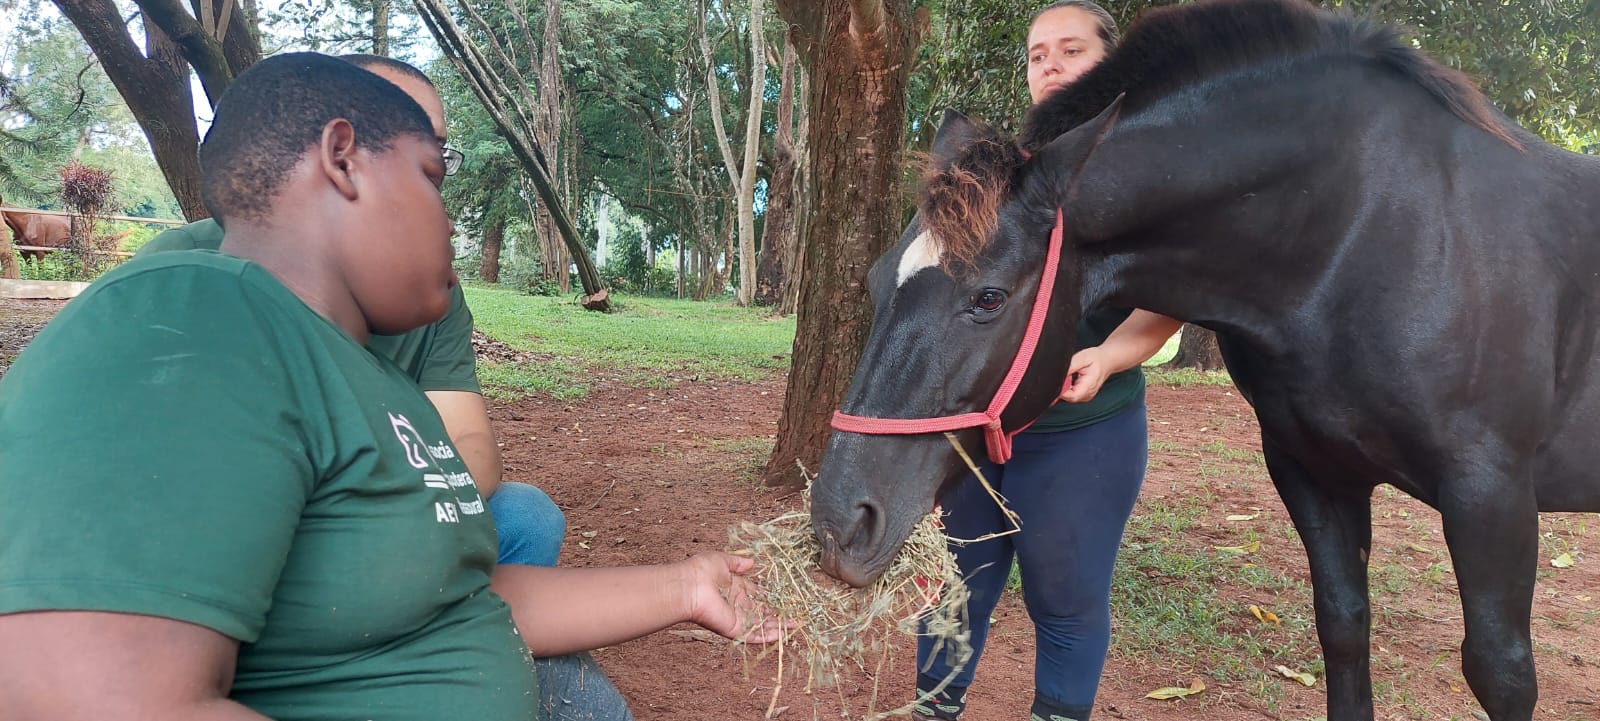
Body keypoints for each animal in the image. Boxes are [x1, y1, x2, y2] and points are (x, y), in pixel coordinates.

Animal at [809, 1, 1600, 720]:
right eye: (875, 279)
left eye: (989, 297)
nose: (839, 523)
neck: (1370, 226)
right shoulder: (1314, 471)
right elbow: (1344, 629)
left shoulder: (1489, 490)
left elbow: (1501, 672)